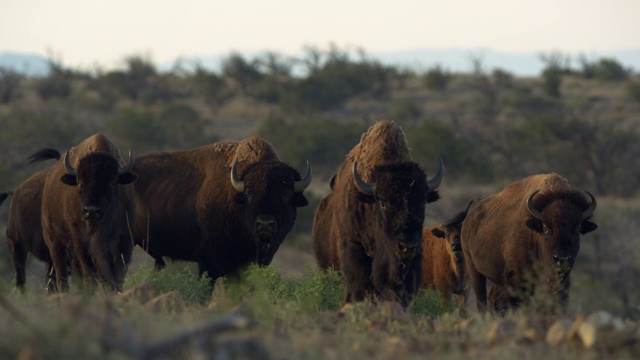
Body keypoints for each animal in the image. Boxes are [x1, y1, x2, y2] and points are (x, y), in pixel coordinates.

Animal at [39, 134, 138, 292]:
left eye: (112, 183)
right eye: (80, 183)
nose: (91, 211)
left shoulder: (124, 238)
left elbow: (118, 272)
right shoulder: (80, 241)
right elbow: (89, 271)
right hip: (55, 243)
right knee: (62, 276)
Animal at [462, 173, 596, 314]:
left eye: (578, 228)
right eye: (545, 228)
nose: (561, 259)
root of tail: (470, 218)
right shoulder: (517, 280)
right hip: (473, 270)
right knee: (482, 301)